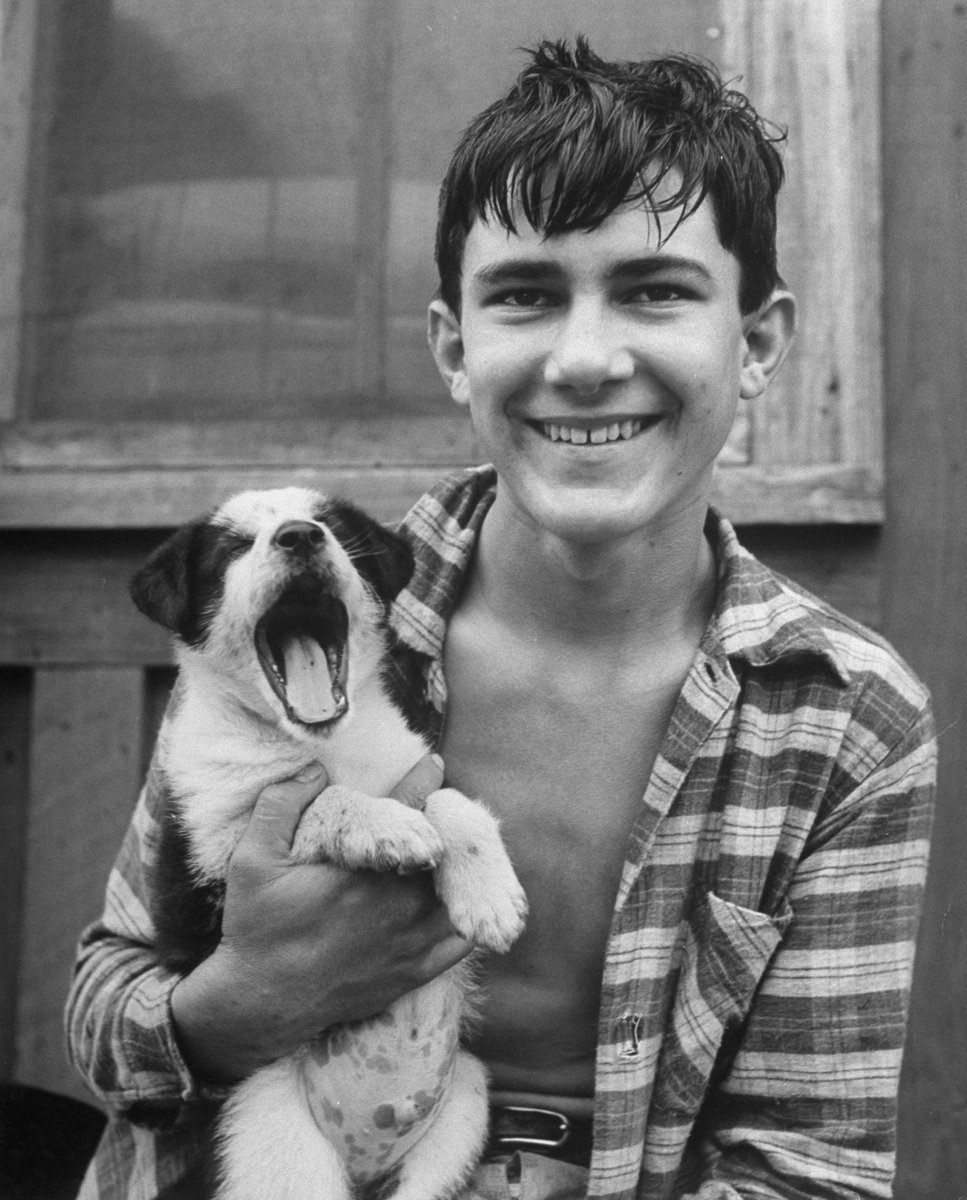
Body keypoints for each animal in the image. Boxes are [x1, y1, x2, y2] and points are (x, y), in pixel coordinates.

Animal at [130, 487, 530, 1200]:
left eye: (331, 527)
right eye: (234, 547)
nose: (299, 536)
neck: (316, 744)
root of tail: (365, 1161)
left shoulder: (415, 767)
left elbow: (451, 801)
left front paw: (488, 897)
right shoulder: (216, 855)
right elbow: (322, 802)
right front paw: (389, 830)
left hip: (462, 1114)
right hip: (270, 1144)